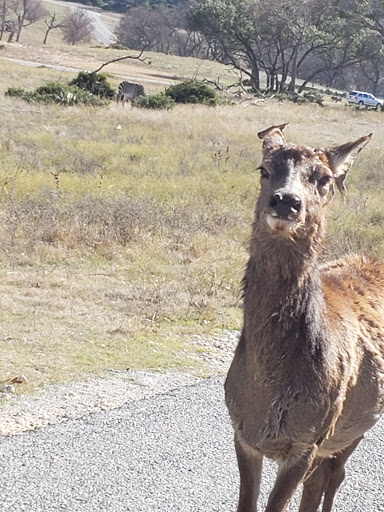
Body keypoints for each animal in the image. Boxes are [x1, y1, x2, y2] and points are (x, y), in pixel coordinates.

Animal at [224, 125, 384, 512]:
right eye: (264, 169)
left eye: (323, 178)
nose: (286, 201)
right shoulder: (243, 432)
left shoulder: (307, 440)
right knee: (323, 479)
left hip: (354, 425)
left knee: (335, 474)